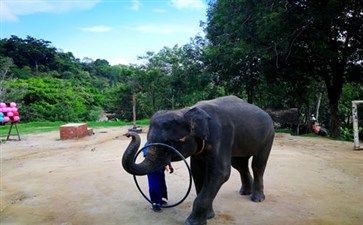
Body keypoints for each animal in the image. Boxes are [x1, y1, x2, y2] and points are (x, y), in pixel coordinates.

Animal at [121, 96, 274, 225]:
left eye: (170, 143)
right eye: (149, 139)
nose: (129, 133)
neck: (186, 111)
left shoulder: (221, 136)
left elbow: (220, 173)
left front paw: (192, 222)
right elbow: (197, 172)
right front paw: (209, 216)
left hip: (269, 135)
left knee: (258, 165)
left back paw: (257, 199)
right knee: (240, 164)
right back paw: (245, 192)